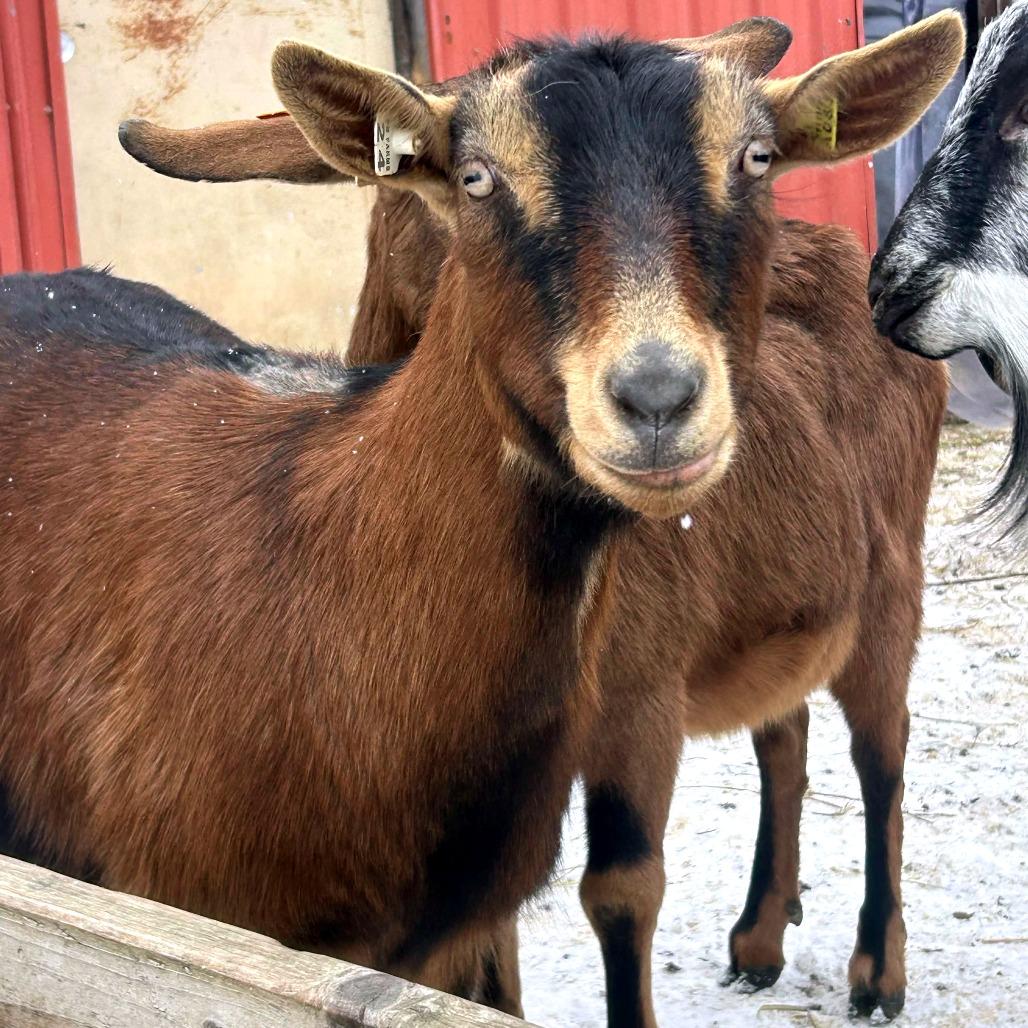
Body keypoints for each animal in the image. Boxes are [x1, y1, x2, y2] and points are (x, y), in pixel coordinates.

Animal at [113, 16, 965, 1024]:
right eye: (458, 181)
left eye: (755, 158)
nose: (656, 393)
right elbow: (491, 929)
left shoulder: (640, 696)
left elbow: (622, 892)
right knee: (782, 735)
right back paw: (760, 936)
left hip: (892, 578)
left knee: (881, 751)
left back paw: (878, 968)